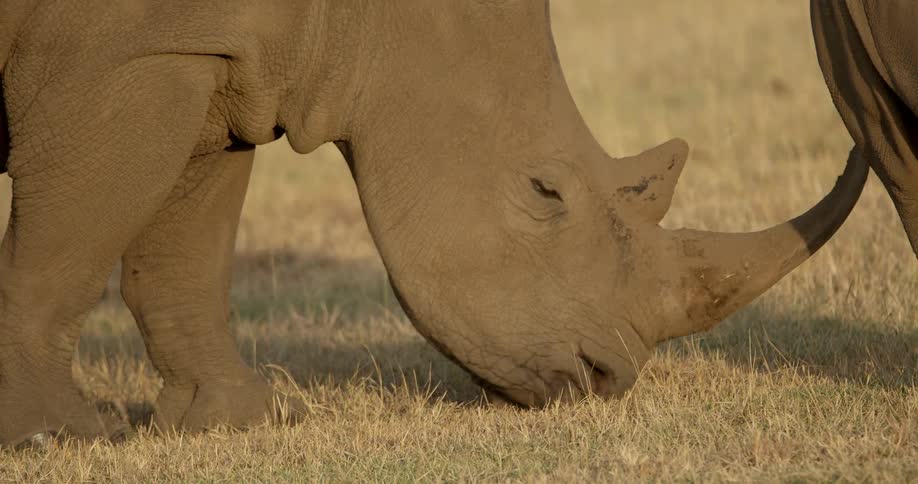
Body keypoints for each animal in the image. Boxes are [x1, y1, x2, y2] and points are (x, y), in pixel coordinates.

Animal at [0, 1, 868, 447]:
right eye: (544, 191)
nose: (606, 380)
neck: (370, 19)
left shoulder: (213, 58)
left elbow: (186, 251)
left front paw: (233, 422)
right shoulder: (129, 50)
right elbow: (65, 243)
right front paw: (56, 437)